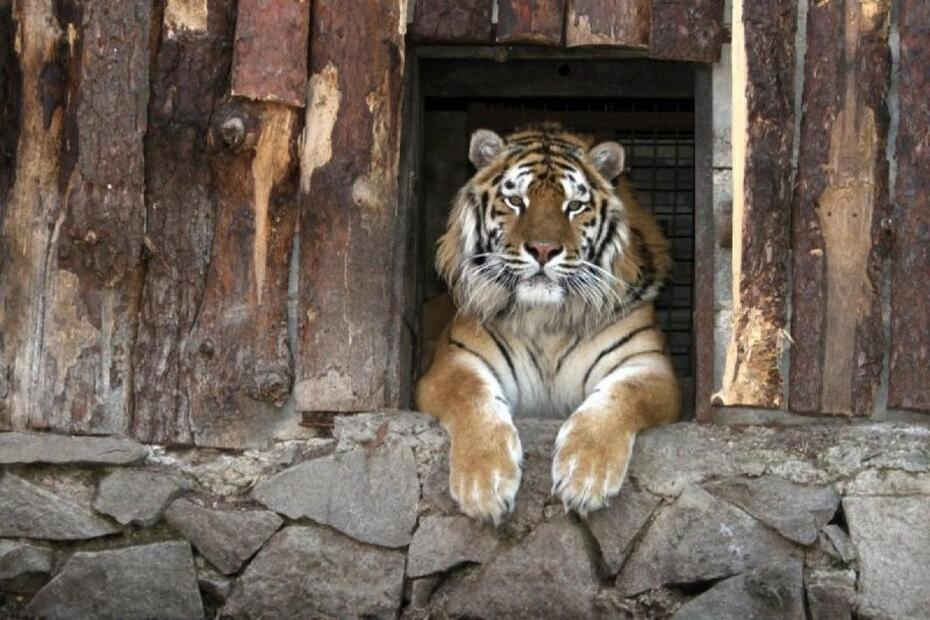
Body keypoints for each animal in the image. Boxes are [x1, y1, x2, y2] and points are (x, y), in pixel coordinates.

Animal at [416, 124, 676, 524]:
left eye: (575, 206)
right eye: (515, 201)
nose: (542, 250)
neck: (547, 320)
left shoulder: (648, 365)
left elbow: (621, 396)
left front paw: (586, 475)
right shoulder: (455, 363)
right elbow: (471, 395)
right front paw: (484, 483)